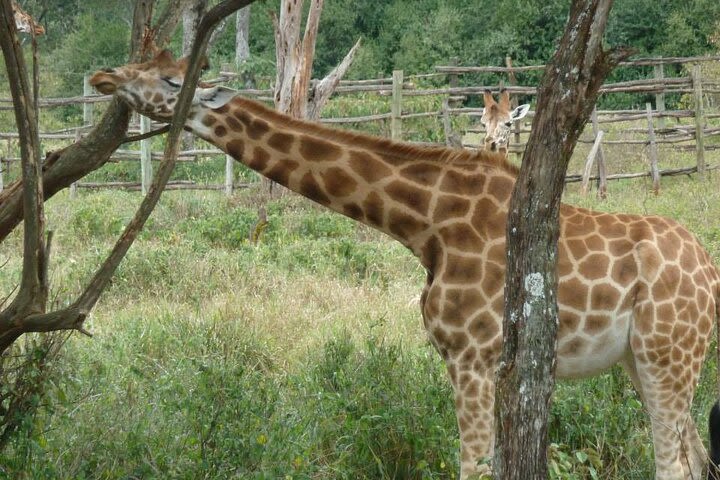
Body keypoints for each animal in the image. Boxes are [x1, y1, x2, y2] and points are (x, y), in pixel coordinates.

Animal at [91, 50, 720, 478]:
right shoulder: (468, 360)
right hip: (643, 360)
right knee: (693, 456)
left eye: (172, 79)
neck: (423, 223)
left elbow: (473, 469)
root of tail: (711, 271)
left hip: (667, 353)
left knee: (672, 462)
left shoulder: (474, 356)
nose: (103, 77)